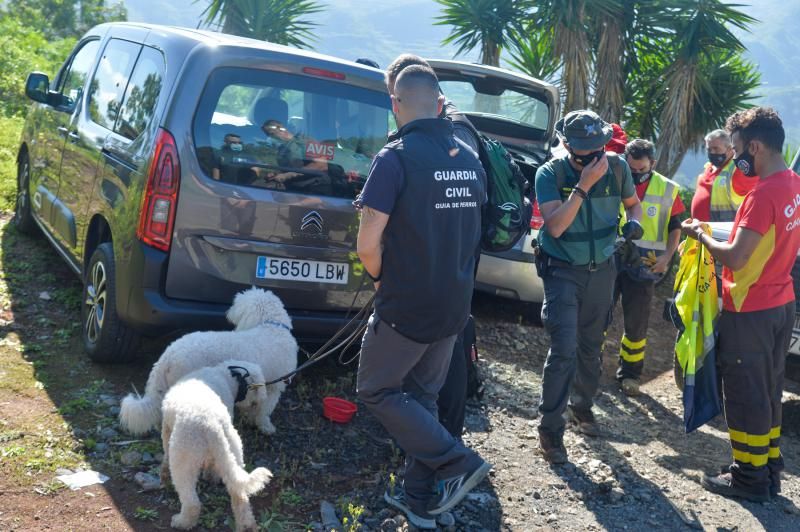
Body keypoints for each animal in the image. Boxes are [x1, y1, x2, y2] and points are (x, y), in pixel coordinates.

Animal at [122, 288, 300, 434]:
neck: (272, 327)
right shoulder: (274, 387)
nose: (227, 312)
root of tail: (169, 355)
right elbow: (264, 410)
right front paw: (265, 426)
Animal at [159, 360, 272, 528]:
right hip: (232, 449)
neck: (228, 375)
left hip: (183, 457)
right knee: (239, 494)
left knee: (192, 502)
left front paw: (164, 475)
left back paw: (181, 522)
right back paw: (246, 525)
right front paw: (210, 475)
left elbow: (165, 453)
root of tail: (212, 425)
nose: (255, 420)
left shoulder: (166, 428)